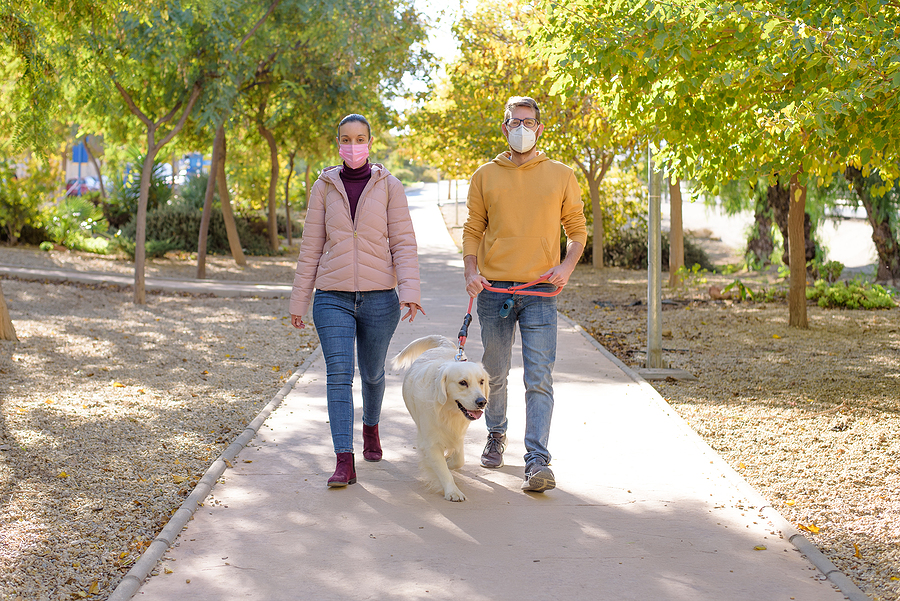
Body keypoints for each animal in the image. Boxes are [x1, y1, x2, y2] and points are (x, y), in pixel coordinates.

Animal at [394, 336, 488, 500]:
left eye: (481, 381)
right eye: (463, 383)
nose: (482, 402)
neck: (447, 410)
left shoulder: (458, 435)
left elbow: (459, 459)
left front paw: (449, 460)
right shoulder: (430, 442)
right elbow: (443, 470)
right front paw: (453, 491)